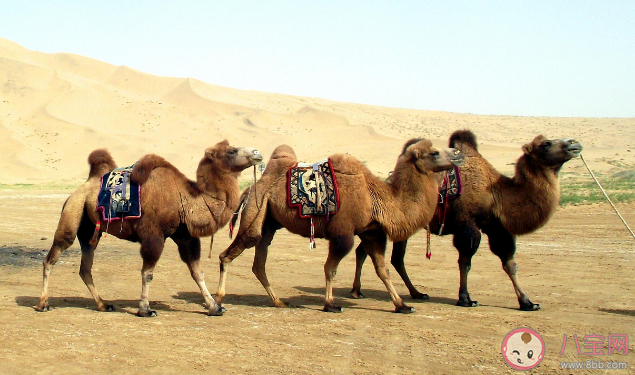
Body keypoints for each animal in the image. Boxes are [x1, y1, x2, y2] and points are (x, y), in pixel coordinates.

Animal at [35, 141, 264, 318]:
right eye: (232, 151)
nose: (257, 153)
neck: (186, 199)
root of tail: (80, 189)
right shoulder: (153, 235)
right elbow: (148, 273)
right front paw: (145, 309)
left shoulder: (185, 236)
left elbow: (197, 272)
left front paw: (214, 307)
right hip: (73, 212)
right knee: (53, 255)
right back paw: (43, 303)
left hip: (90, 229)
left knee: (85, 266)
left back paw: (103, 304)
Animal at [216, 139, 464, 314]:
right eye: (434, 153)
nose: (458, 153)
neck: (376, 197)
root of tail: (250, 189)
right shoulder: (343, 233)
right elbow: (331, 268)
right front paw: (330, 304)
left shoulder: (371, 232)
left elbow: (382, 270)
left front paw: (402, 305)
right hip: (255, 211)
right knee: (229, 254)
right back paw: (218, 299)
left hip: (268, 222)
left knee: (259, 263)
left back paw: (278, 302)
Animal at [350, 131, 584, 312]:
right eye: (546, 144)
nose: (574, 143)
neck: (496, 192)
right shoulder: (468, 223)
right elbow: (466, 261)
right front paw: (466, 298)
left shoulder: (496, 226)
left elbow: (510, 263)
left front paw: (528, 302)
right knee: (389, 256)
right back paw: (367, 292)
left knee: (378, 254)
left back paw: (404, 293)